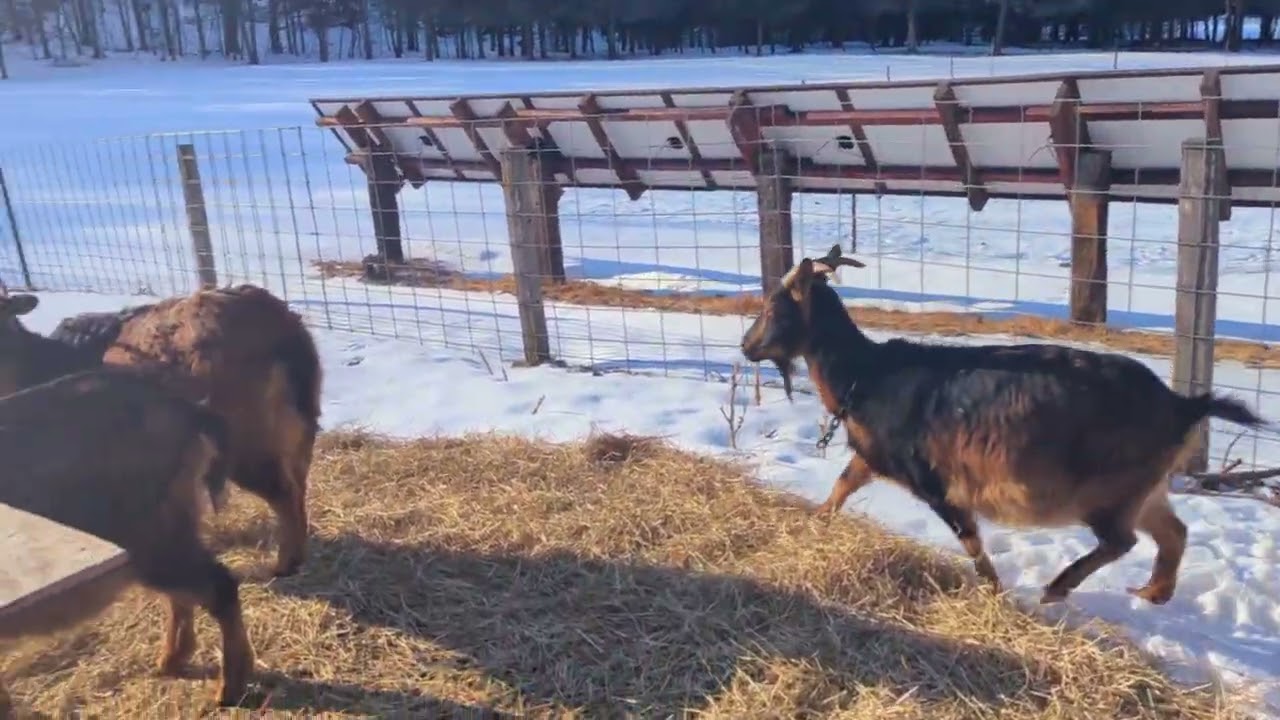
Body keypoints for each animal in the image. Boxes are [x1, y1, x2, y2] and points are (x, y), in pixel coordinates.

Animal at [0, 367, 253, 708]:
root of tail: (186, 409)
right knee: (187, 594)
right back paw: (169, 663)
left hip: (151, 537)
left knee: (218, 585)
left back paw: (227, 691)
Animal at [740, 244, 1268, 605]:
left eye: (770, 309)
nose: (745, 348)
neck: (864, 375)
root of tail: (1182, 405)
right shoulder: (872, 457)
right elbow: (842, 484)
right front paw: (814, 522)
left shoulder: (936, 481)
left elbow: (970, 538)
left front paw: (994, 591)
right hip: (1145, 486)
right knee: (1172, 531)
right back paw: (1153, 593)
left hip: (1109, 488)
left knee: (1122, 539)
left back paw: (1057, 588)